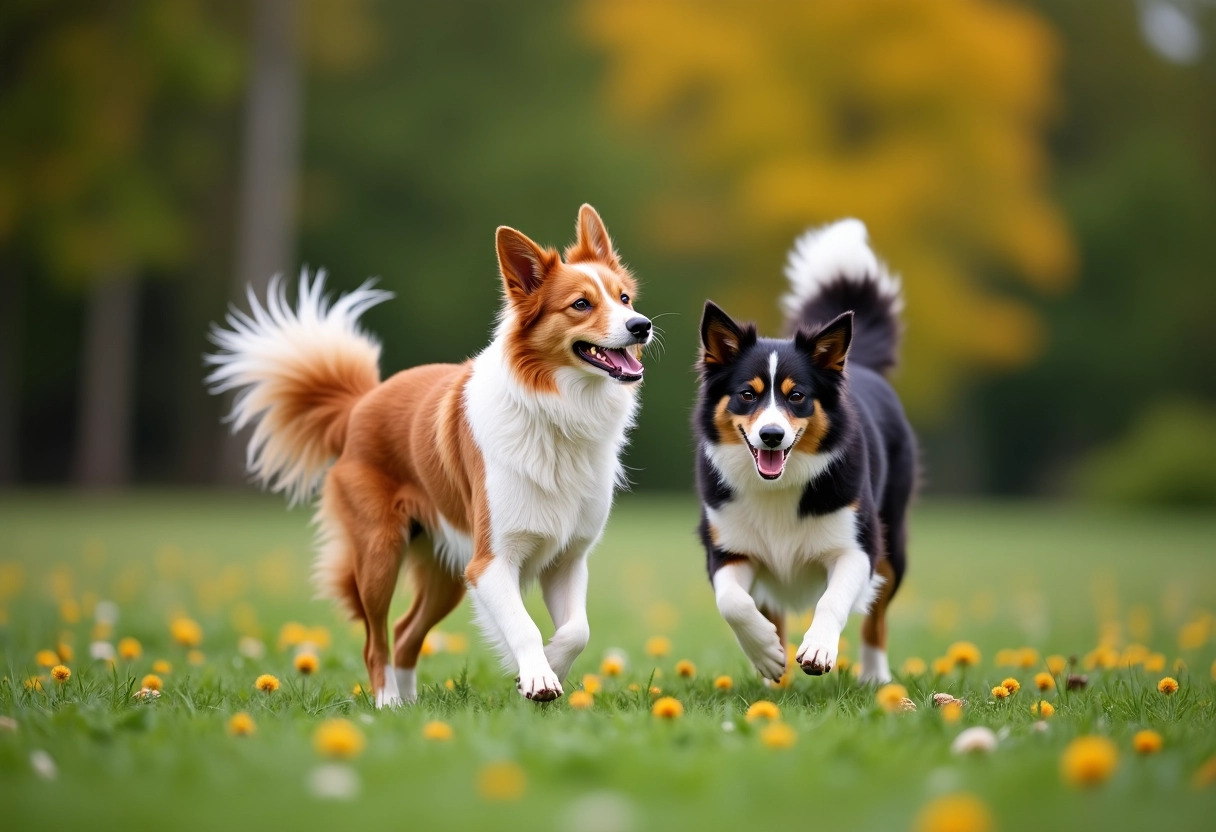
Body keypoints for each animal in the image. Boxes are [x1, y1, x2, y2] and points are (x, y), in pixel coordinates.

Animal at [204, 204, 651, 705]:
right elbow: (525, 627)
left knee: (404, 632)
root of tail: (360, 403)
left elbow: (577, 631)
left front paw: (546, 667)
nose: (642, 325)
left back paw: (409, 706)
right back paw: (386, 703)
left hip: (444, 573)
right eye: (581, 304)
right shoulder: (489, 561)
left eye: (625, 298)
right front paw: (537, 676)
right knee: (376, 640)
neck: (558, 411)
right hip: (380, 554)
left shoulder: (567, 558)